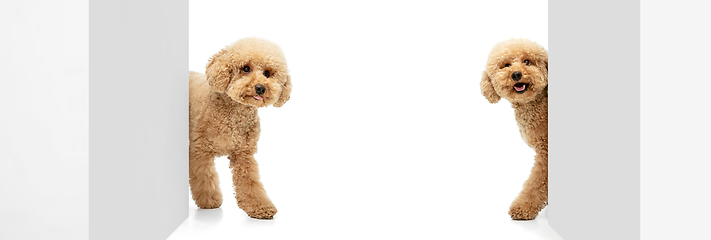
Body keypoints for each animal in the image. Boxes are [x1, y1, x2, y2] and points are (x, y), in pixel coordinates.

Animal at [188, 38, 294, 219]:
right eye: (245, 68)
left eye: (267, 73)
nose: (260, 87)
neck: (233, 115)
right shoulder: (199, 151)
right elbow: (204, 178)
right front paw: (209, 200)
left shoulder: (244, 154)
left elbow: (250, 182)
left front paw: (261, 207)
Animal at [478, 37, 552, 219]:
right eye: (506, 65)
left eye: (527, 61)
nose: (516, 74)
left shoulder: (546, 153)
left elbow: (535, 183)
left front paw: (523, 207)